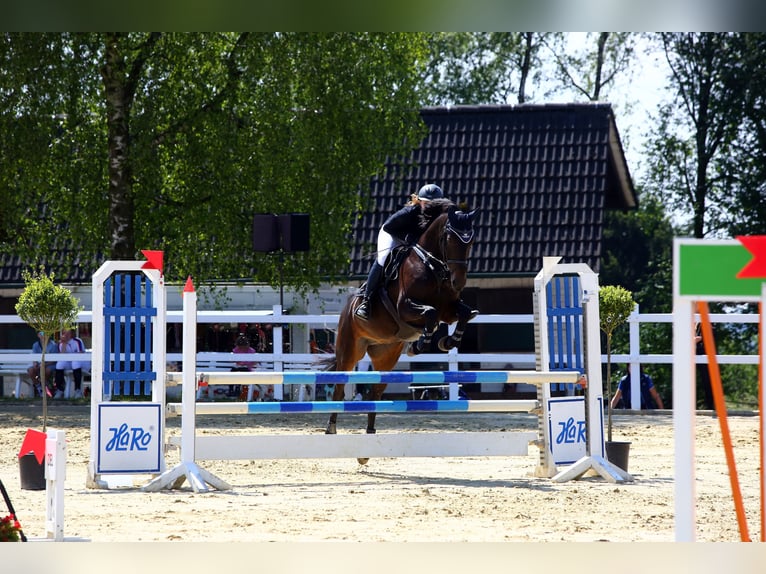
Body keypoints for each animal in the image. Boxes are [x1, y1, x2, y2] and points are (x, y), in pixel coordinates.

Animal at [320, 198, 476, 460]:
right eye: (449, 238)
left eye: (470, 240)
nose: (459, 282)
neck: (433, 267)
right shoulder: (405, 307)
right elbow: (430, 314)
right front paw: (422, 343)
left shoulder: (448, 309)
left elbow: (464, 313)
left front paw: (448, 341)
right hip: (349, 350)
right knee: (340, 389)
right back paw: (331, 429)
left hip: (386, 356)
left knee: (375, 393)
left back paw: (369, 439)